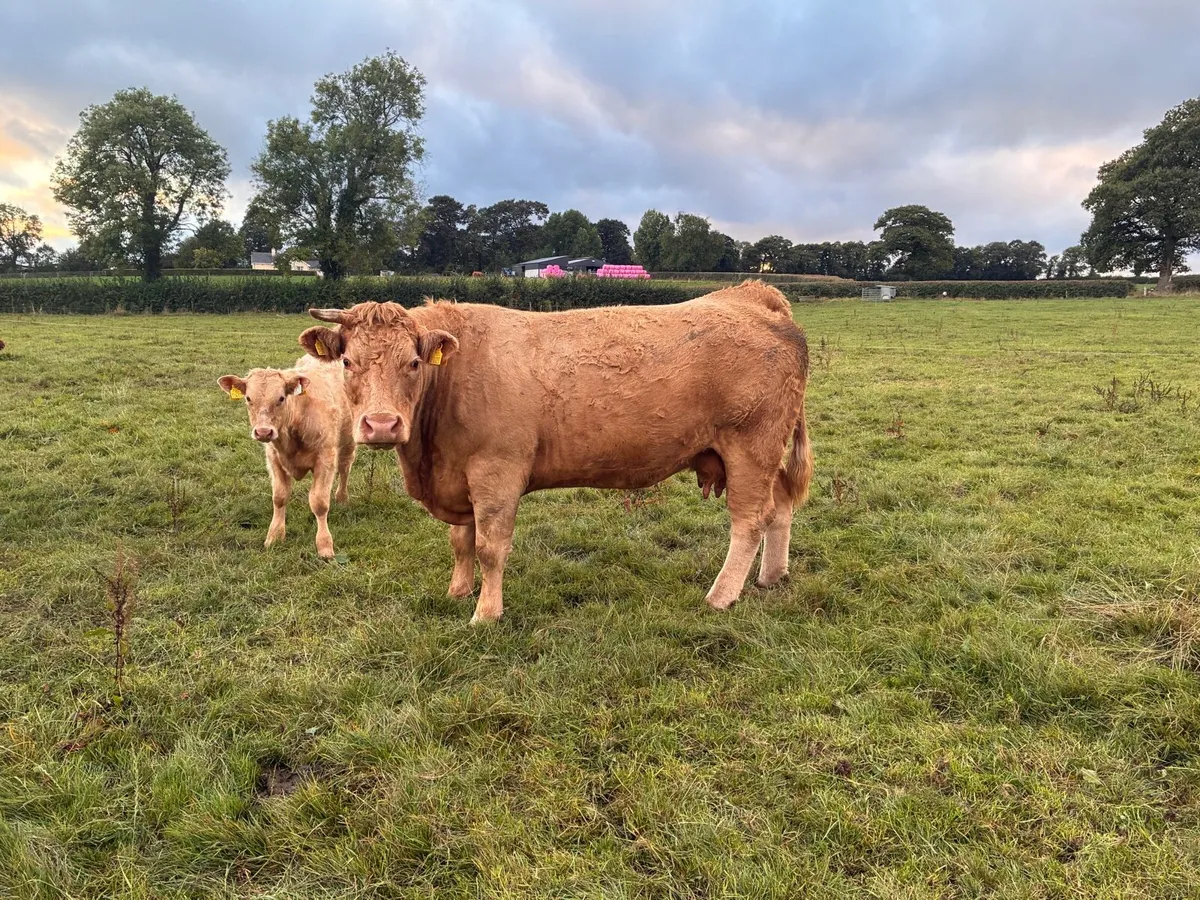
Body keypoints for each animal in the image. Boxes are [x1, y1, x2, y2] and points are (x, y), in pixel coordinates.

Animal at [217, 356, 356, 559]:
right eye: (248, 398)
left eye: (281, 398)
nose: (263, 432)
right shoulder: (273, 459)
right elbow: (279, 497)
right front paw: (274, 536)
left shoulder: (325, 458)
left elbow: (319, 502)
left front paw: (324, 545)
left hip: (348, 440)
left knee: (345, 468)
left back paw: (342, 498)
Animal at [297, 280, 812, 622]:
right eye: (347, 362)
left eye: (414, 362)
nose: (382, 425)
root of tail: (751, 295)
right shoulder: (459, 476)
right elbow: (460, 541)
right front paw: (457, 592)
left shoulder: (496, 473)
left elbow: (489, 547)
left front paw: (486, 613)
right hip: (762, 452)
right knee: (782, 505)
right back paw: (771, 577)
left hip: (752, 445)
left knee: (750, 520)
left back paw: (721, 596)